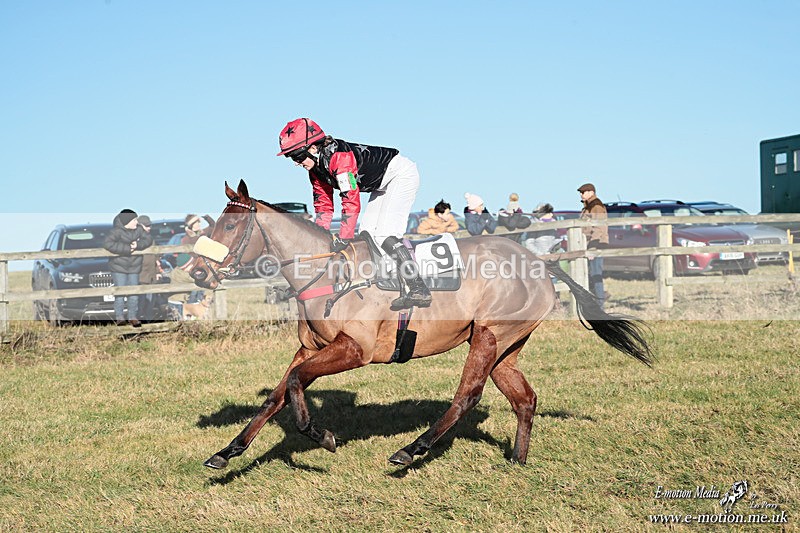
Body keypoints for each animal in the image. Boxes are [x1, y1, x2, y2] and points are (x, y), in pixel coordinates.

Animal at [189, 179, 653, 469]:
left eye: (229, 223)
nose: (195, 271)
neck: (329, 274)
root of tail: (541, 262)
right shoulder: (310, 347)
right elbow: (277, 395)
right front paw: (228, 452)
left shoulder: (354, 350)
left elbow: (297, 383)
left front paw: (320, 435)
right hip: (506, 347)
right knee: (524, 399)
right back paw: (518, 462)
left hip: (488, 336)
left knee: (467, 396)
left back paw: (412, 450)